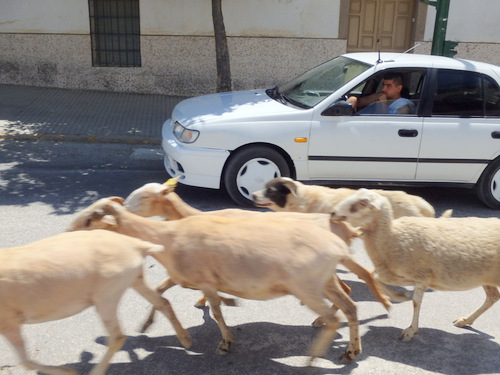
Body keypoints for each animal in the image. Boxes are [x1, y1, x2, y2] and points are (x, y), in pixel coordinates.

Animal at [0, 229, 191, 375]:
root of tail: (136, 246)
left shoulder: (8, 321)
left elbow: (25, 362)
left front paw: (68, 371)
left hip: (107, 294)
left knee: (117, 336)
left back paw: (96, 371)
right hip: (135, 279)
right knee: (162, 302)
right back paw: (185, 339)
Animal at [68, 198, 392, 366]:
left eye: (90, 219)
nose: (67, 233)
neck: (167, 237)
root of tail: (338, 240)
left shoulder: (205, 280)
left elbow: (215, 309)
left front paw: (224, 342)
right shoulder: (199, 280)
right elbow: (170, 297)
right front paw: (148, 326)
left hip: (308, 286)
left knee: (337, 315)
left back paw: (313, 359)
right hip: (324, 281)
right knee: (349, 307)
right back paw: (350, 351)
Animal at [330, 189, 498, 342]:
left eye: (363, 203)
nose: (333, 212)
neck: (392, 236)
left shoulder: (421, 276)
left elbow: (416, 302)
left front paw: (410, 330)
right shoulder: (397, 274)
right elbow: (376, 277)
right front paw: (398, 296)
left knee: (493, 296)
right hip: (486, 278)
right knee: (493, 296)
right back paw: (465, 320)